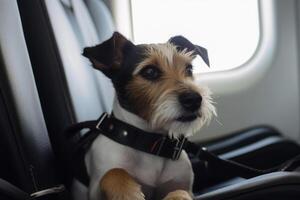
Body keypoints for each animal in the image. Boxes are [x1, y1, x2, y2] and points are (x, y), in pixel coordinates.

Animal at [82, 32, 216, 200]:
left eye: (189, 69)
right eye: (150, 72)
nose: (194, 99)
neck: (151, 144)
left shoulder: (185, 186)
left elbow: (180, 191)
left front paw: (177, 197)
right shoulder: (95, 188)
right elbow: (114, 172)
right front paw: (127, 194)